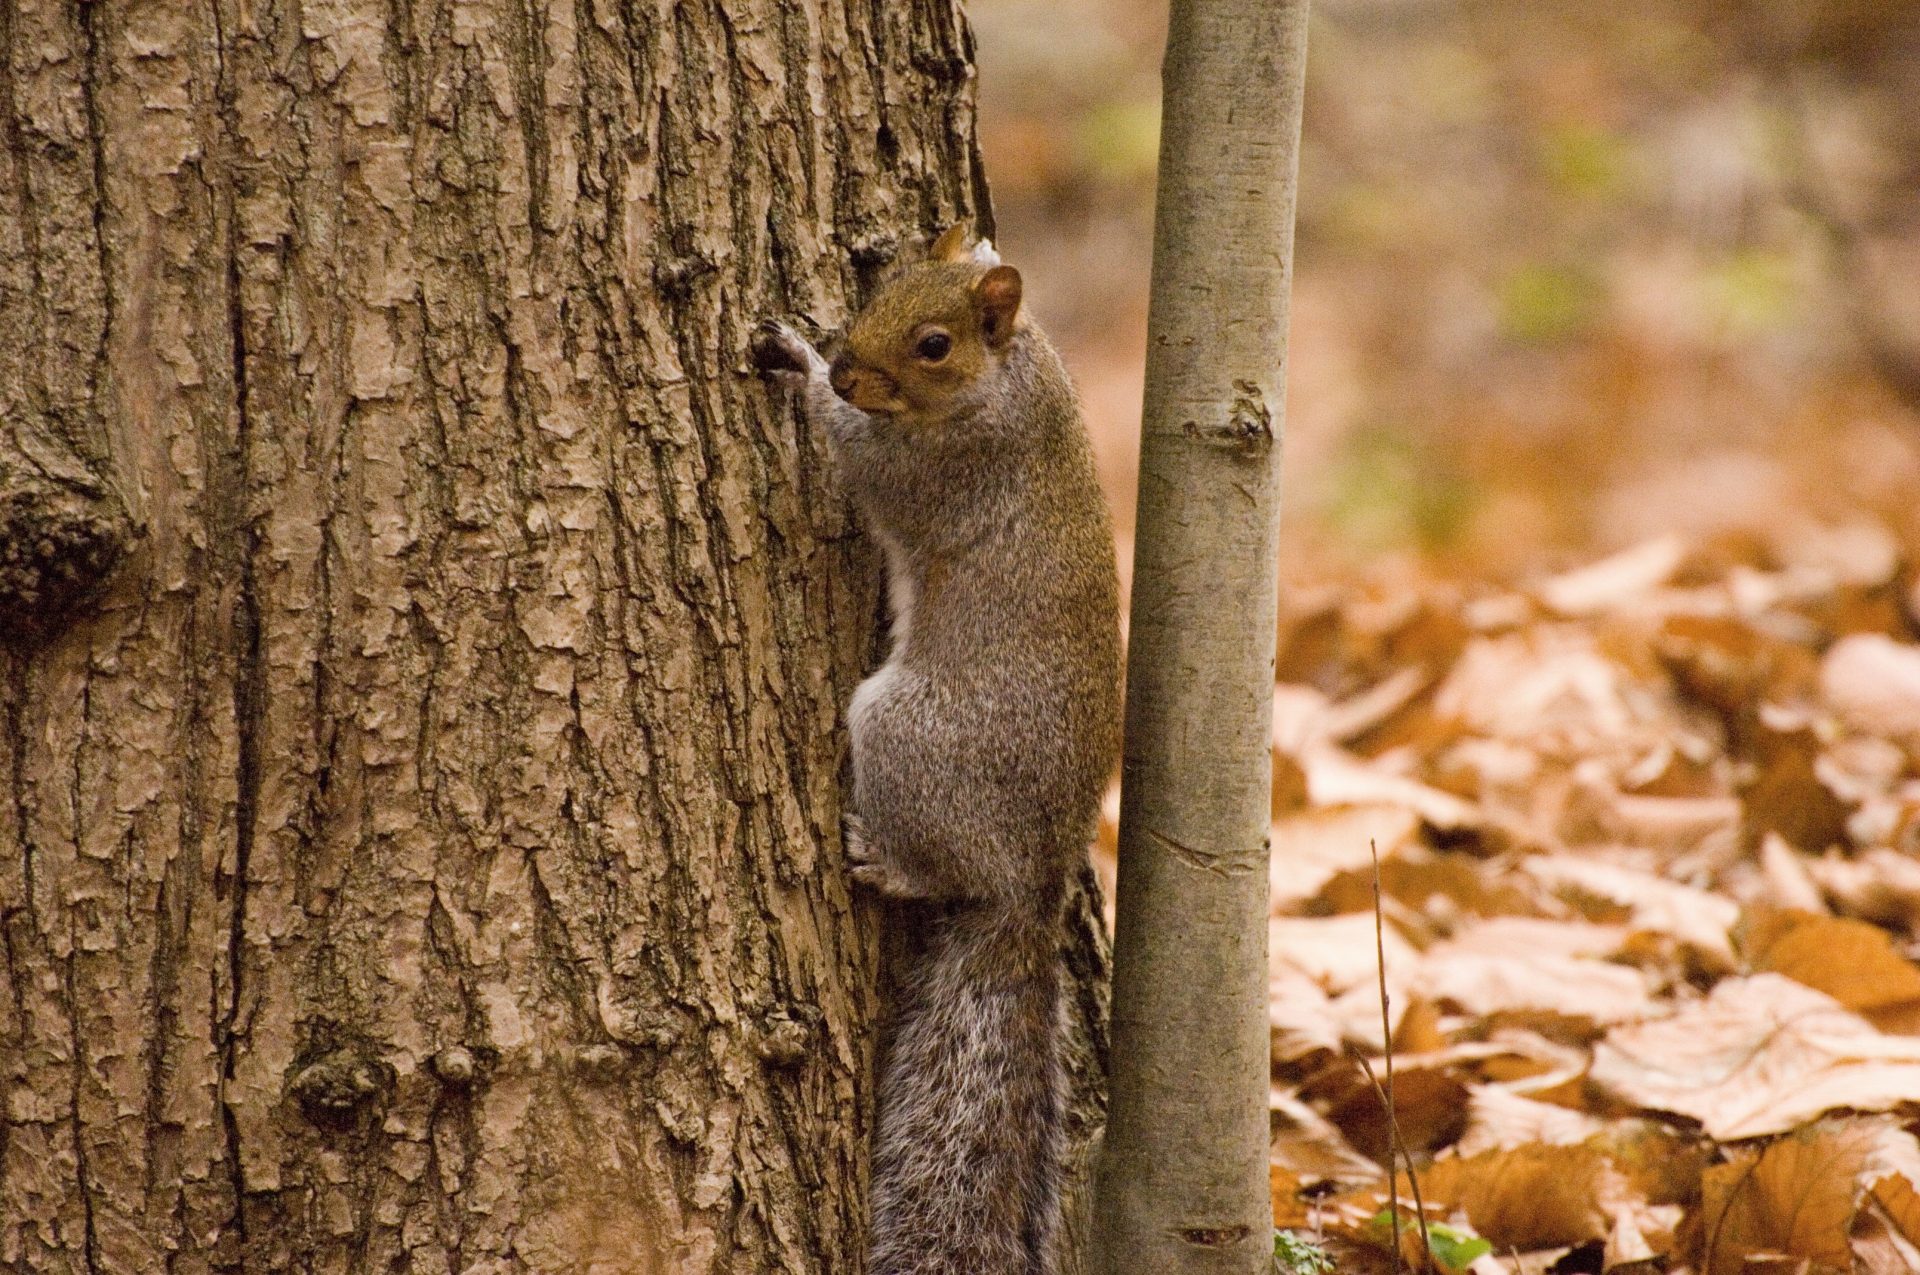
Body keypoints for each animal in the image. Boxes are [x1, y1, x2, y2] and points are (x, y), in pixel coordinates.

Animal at [741, 229, 1121, 1275]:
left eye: (935, 344)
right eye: (883, 287)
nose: (845, 368)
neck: (1016, 380)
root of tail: (1034, 875)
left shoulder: (943, 466)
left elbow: (860, 454)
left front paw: (795, 362)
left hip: (904, 731)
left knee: (939, 867)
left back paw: (882, 856)